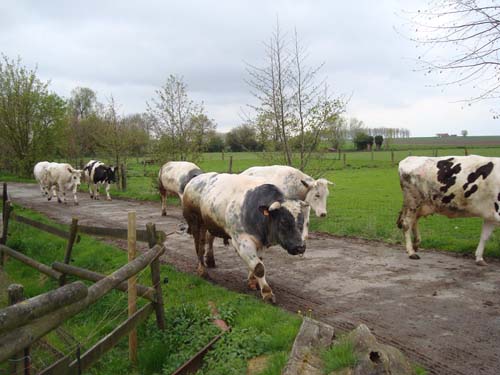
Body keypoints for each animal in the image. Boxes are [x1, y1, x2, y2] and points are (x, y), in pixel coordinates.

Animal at [182, 173, 310, 302]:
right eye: (284, 221)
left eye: (302, 221)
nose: (300, 247)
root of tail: (196, 178)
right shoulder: (242, 242)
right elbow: (259, 267)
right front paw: (267, 293)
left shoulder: (261, 243)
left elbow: (257, 262)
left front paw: (252, 282)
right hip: (195, 222)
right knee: (199, 246)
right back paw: (202, 270)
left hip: (208, 223)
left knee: (208, 239)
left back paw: (210, 260)